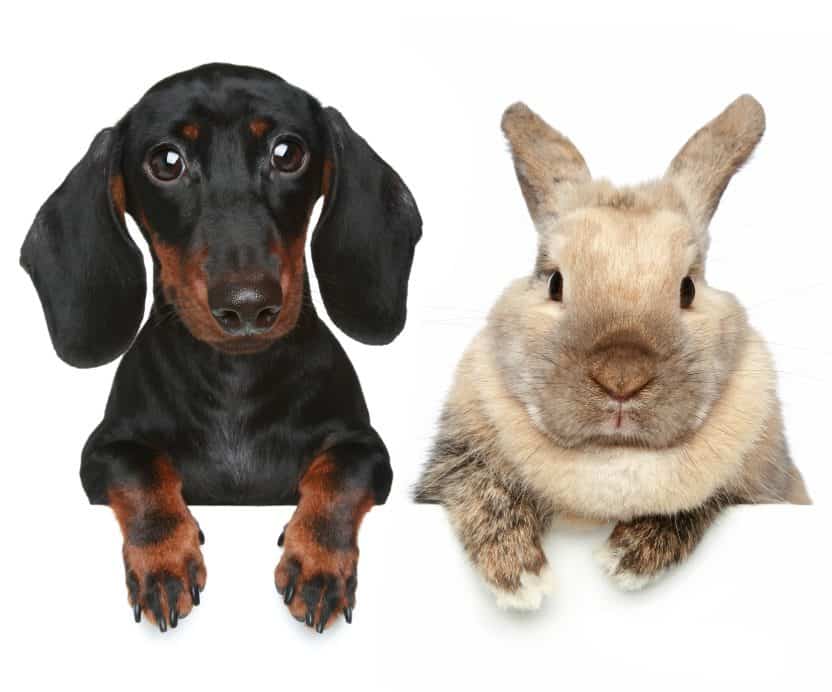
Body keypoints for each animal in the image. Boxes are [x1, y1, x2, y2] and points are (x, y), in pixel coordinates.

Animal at [414, 95, 810, 610]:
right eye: (555, 282)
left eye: (687, 289)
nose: (621, 377)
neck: (611, 458)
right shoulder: (452, 467)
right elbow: (481, 488)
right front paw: (521, 577)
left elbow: (704, 501)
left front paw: (628, 557)